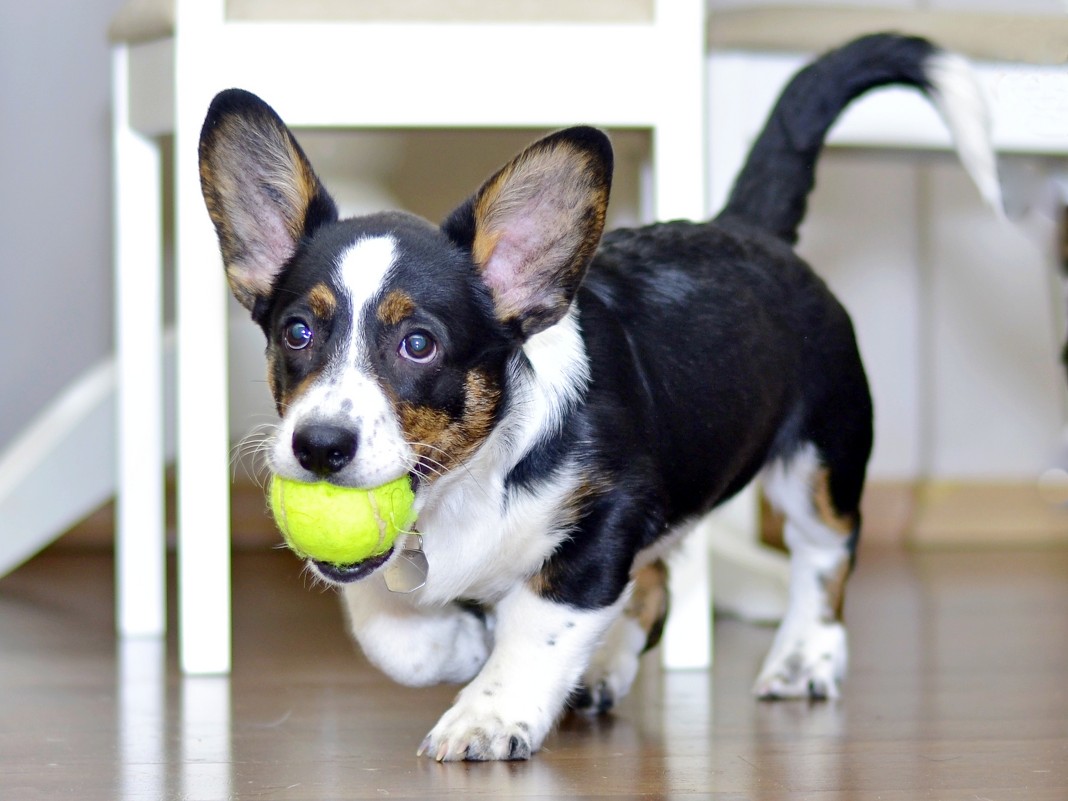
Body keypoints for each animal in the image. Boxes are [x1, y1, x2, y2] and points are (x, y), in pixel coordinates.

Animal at [196, 31, 995, 760]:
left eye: (418, 344)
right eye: (297, 332)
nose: (318, 448)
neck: (471, 480)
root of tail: (744, 228)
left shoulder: (605, 519)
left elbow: (538, 625)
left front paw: (487, 711)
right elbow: (388, 629)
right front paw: (456, 642)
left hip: (818, 460)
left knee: (823, 556)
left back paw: (803, 659)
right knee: (658, 587)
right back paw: (605, 666)